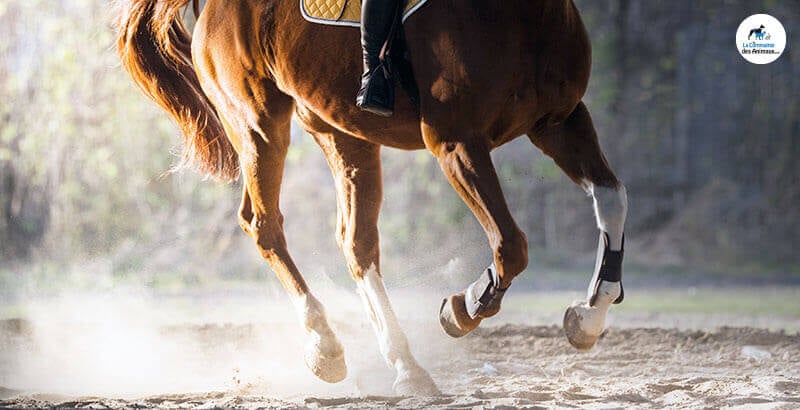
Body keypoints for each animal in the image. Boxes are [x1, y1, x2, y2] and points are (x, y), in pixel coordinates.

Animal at [117, 0, 632, 394]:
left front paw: (588, 316)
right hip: (257, 124)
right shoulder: (456, 142)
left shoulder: (560, 122)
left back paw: (405, 366)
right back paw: (325, 346)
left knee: (356, 243)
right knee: (264, 225)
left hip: (342, 132)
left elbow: (613, 199)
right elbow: (511, 244)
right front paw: (464, 307)